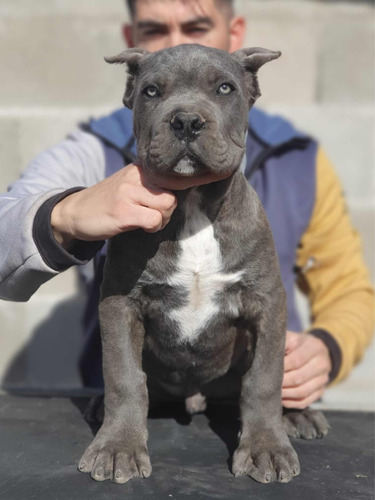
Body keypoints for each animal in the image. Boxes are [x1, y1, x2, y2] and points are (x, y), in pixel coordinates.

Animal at [78, 44, 328, 484]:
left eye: (225, 88)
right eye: (151, 91)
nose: (186, 121)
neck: (193, 202)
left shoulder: (266, 303)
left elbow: (264, 379)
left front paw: (265, 448)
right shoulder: (121, 303)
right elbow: (124, 376)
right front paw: (117, 447)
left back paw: (299, 415)